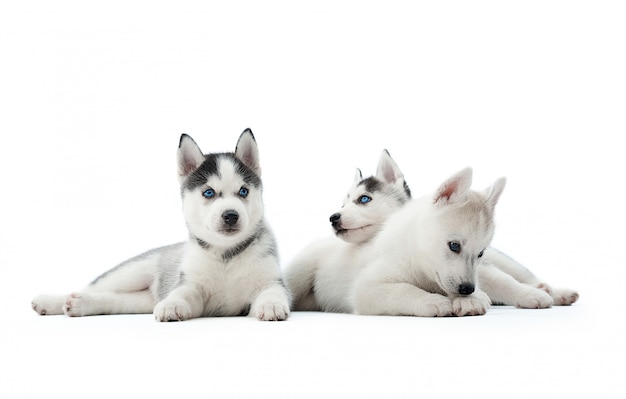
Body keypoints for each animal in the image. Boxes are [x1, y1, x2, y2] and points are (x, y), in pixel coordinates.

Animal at [31, 130, 290, 324]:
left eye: (244, 191)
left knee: (115, 300)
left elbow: (273, 291)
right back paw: (52, 301)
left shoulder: (272, 280)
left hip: (141, 300)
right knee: (92, 287)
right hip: (130, 272)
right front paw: (172, 305)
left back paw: (80, 304)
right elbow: (180, 293)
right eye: (208, 193)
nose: (231, 215)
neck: (226, 254)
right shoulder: (190, 285)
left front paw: (271, 304)